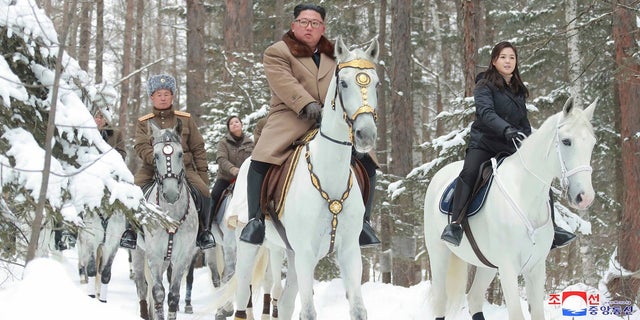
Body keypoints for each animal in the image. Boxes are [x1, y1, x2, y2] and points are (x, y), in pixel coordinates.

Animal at [129, 120, 198, 320]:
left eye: (180, 154)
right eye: (156, 155)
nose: (171, 193)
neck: (170, 215)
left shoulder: (183, 256)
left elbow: (173, 295)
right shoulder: (154, 254)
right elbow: (158, 292)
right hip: (138, 253)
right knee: (142, 285)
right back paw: (144, 312)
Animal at [230, 37, 380, 320]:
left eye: (376, 83)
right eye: (344, 83)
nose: (366, 135)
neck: (330, 179)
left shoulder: (349, 252)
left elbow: (358, 309)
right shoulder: (306, 253)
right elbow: (308, 312)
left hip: (291, 252)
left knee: (285, 303)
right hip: (250, 248)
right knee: (242, 298)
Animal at [422, 97, 596, 320]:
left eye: (592, 143)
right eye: (566, 141)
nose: (585, 197)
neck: (524, 195)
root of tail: (439, 176)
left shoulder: (536, 268)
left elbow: (537, 313)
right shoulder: (508, 268)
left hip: (487, 265)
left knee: (474, 298)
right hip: (439, 254)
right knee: (441, 300)